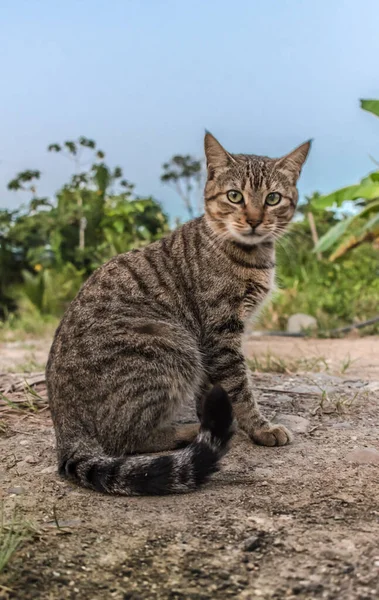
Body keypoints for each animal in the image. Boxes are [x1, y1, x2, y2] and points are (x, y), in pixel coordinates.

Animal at [46, 134, 312, 494]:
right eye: (235, 196)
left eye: (273, 199)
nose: (255, 220)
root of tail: (65, 432)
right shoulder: (219, 332)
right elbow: (239, 388)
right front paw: (259, 428)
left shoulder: (215, 342)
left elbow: (213, 391)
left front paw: (214, 418)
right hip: (172, 343)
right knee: (126, 439)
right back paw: (185, 433)